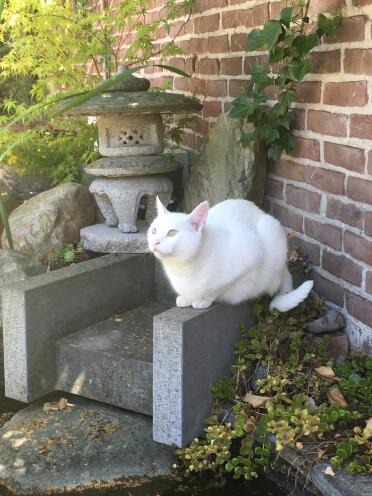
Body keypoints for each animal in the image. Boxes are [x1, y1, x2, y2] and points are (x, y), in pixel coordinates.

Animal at [147, 197, 312, 310]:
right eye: (154, 230)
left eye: (172, 233)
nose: (155, 242)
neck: (181, 269)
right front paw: (186, 298)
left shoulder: (251, 255)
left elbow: (219, 288)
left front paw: (203, 300)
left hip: (272, 233)